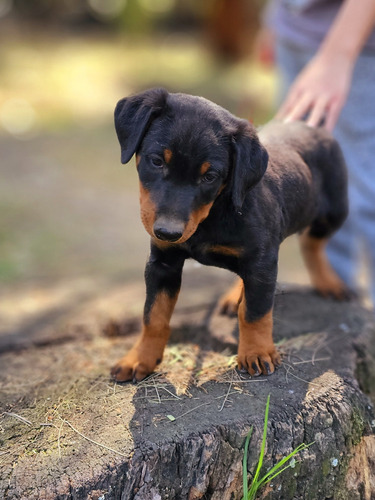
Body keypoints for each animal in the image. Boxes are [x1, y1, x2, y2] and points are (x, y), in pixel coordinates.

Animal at [111, 88, 350, 380]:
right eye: (156, 161)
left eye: (210, 176)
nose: (168, 232)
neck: (212, 215)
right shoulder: (162, 263)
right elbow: (153, 314)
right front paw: (140, 358)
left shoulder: (261, 261)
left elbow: (255, 311)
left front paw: (256, 352)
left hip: (334, 212)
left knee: (312, 243)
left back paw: (328, 282)